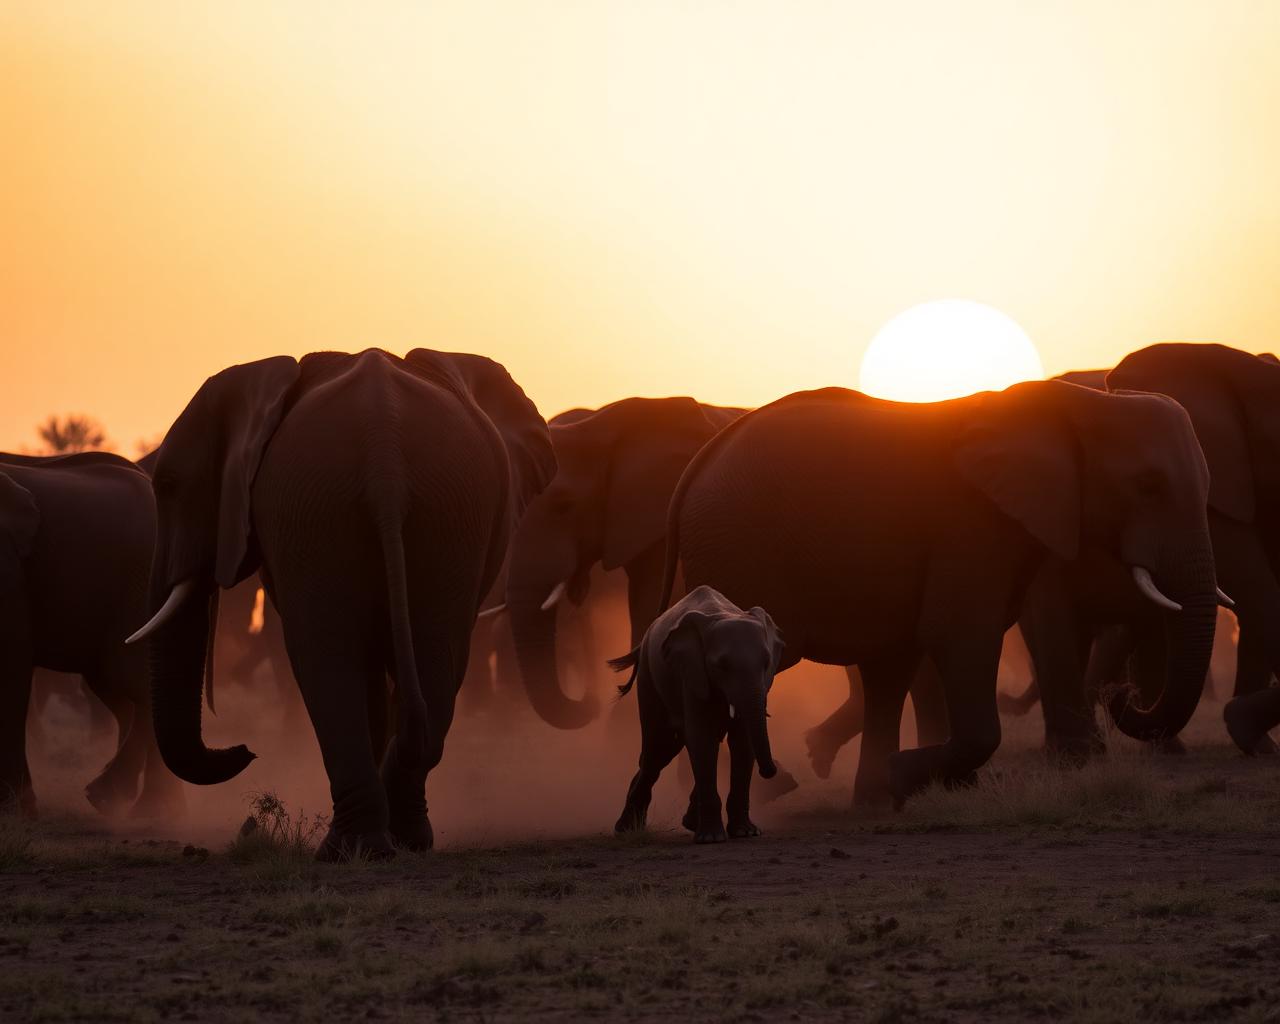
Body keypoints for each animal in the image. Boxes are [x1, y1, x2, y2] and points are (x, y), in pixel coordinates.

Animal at [0, 452, 182, 817]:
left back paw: (130, 805)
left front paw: (16, 810)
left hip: (141, 585)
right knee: (118, 691)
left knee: (136, 681)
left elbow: (13, 660)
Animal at [130, 348, 555, 860]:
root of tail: (384, 456)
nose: (245, 750)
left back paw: (347, 849)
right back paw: (400, 842)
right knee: (434, 660)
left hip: (324, 508)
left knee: (327, 661)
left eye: (169, 485)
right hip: (436, 511)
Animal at [611, 585, 782, 843]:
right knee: (655, 750)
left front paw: (746, 832)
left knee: (665, 751)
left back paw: (687, 822)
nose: (770, 771)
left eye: (766, 663)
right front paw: (711, 838)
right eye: (721, 666)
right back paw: (625, 829)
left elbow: (742, 742)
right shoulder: (691, 671)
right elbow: (701, 738)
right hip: (649, 679)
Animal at [652, 381, 1219, 807]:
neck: (1076, 403)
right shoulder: (970, 526)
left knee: (886, 668)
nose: (1123, 696)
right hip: (736, 549)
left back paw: (867, 799)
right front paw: (914, 777)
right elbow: (961, 636)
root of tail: (695, 468)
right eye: (1147, 485)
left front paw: (915, 783)